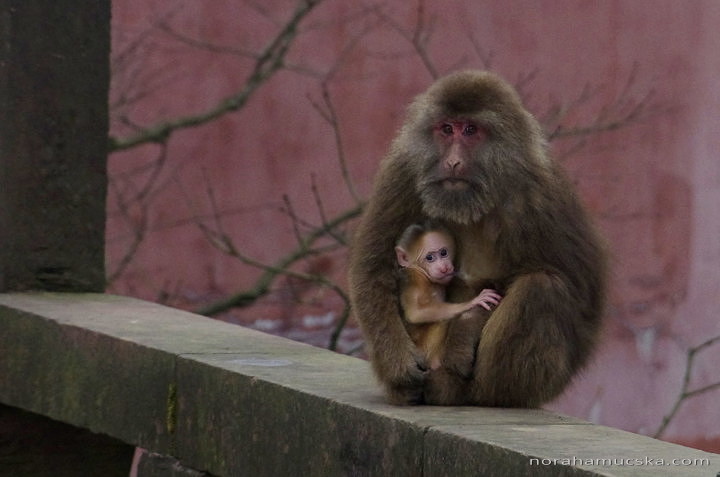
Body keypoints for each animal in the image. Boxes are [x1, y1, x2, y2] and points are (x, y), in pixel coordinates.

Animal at [394, 221, 500, 370]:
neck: (423, 274)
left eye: (443, 252)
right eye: (430, 258)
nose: (444, 267)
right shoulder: (414, 279)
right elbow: (415, 313)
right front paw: (473, 302)